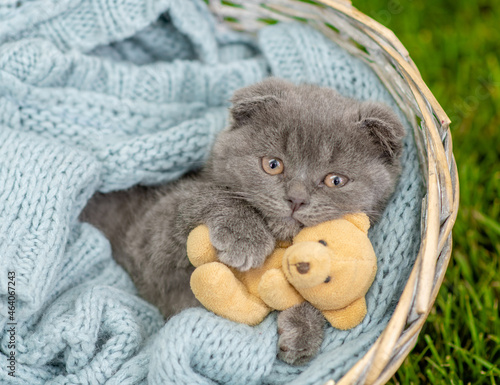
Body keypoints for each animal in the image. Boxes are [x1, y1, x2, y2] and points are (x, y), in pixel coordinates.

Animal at [80, 76, 404, 364]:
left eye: (336, 180)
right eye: (272, 164)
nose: (296, 198)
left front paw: (303, 332)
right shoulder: (146, 245)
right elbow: (198, 195)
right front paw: (246, 237)